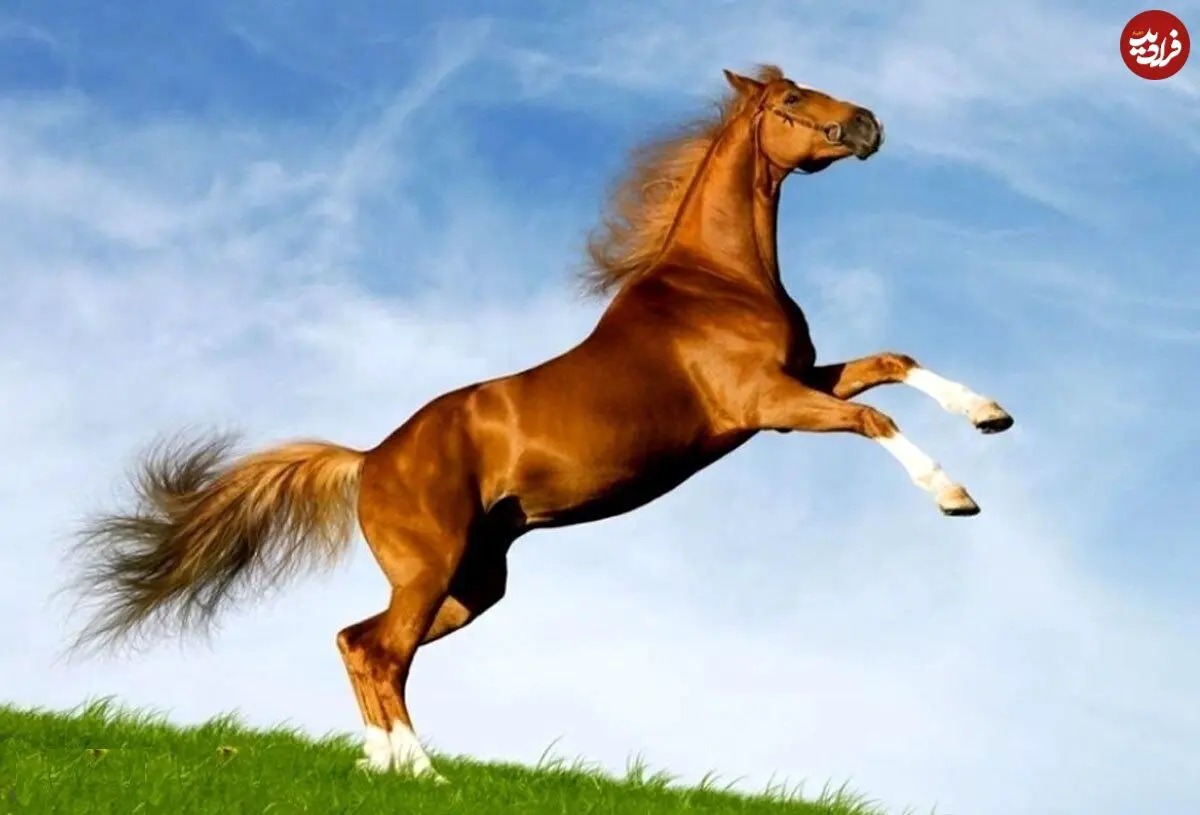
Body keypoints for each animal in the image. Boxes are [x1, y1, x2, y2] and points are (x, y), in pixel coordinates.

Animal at [66, 64, 1012, 780]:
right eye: (789, 103)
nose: (868, 123)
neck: (716, 281)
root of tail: (369, 458)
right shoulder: (768, 405)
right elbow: (874, 420)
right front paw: (956, 495)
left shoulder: (801, 379)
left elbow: (892, 362)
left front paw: (991, 414)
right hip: (431, 568)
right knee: (380, 650)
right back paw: (424, 772)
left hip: (472, 584)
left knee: (356, 640)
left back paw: (383, 765)